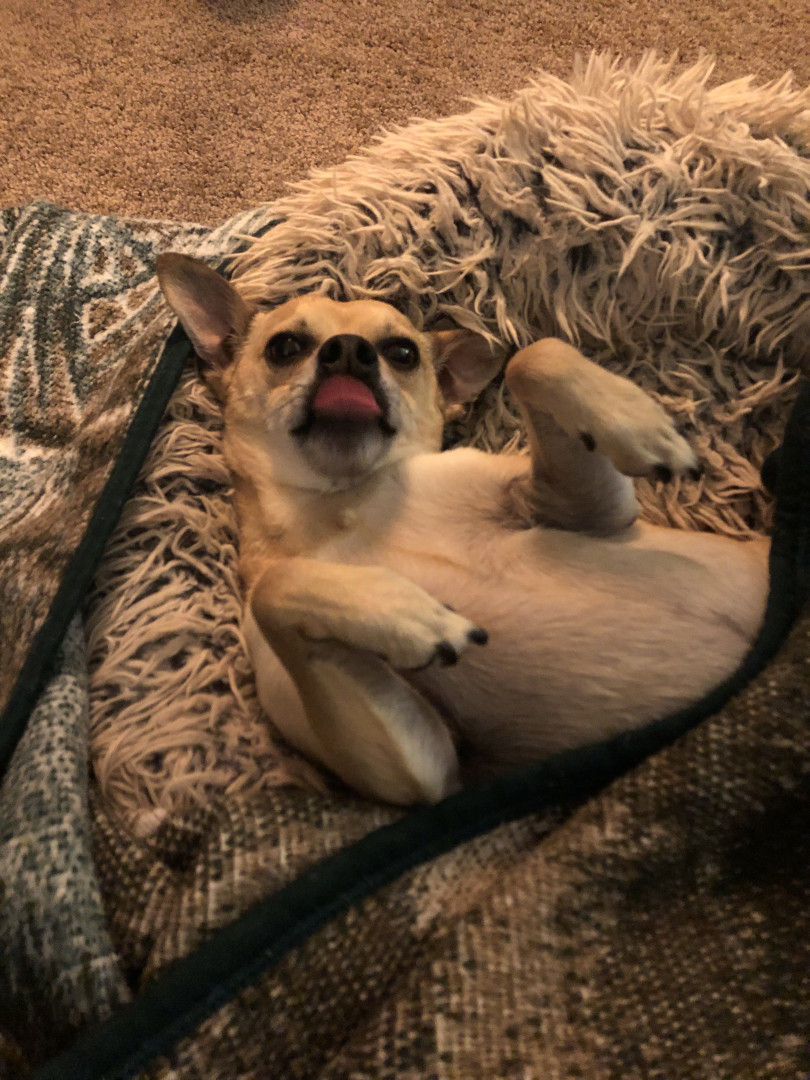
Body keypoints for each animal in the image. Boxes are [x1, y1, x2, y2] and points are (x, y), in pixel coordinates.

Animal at [156, 253, 770, 806]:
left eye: (403, 353)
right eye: (284, 347)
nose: (349, 351)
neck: (341, 506)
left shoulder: (586, 511)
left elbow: (533, 356)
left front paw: (638, 422)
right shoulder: (422, 774)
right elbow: (276, 587)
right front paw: (404, 613)